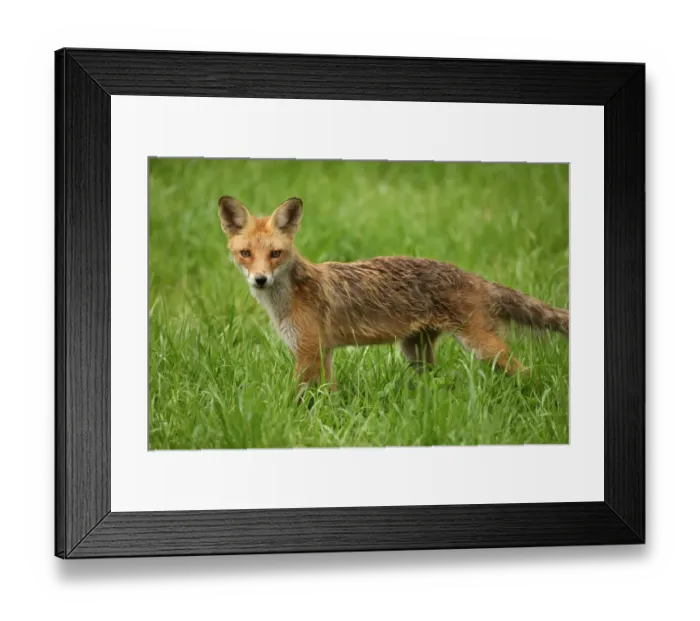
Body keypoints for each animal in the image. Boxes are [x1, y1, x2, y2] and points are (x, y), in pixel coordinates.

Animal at [218, 195, 569, 391]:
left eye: (275, 254)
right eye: (246, 254)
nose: (260, 279)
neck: (285, 301)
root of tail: (474, 277)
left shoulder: (308, 353)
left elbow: (297, 398)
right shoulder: (323, 352)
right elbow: (328, 396)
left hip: (483, 347)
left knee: (529, 373)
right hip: (415, 352)